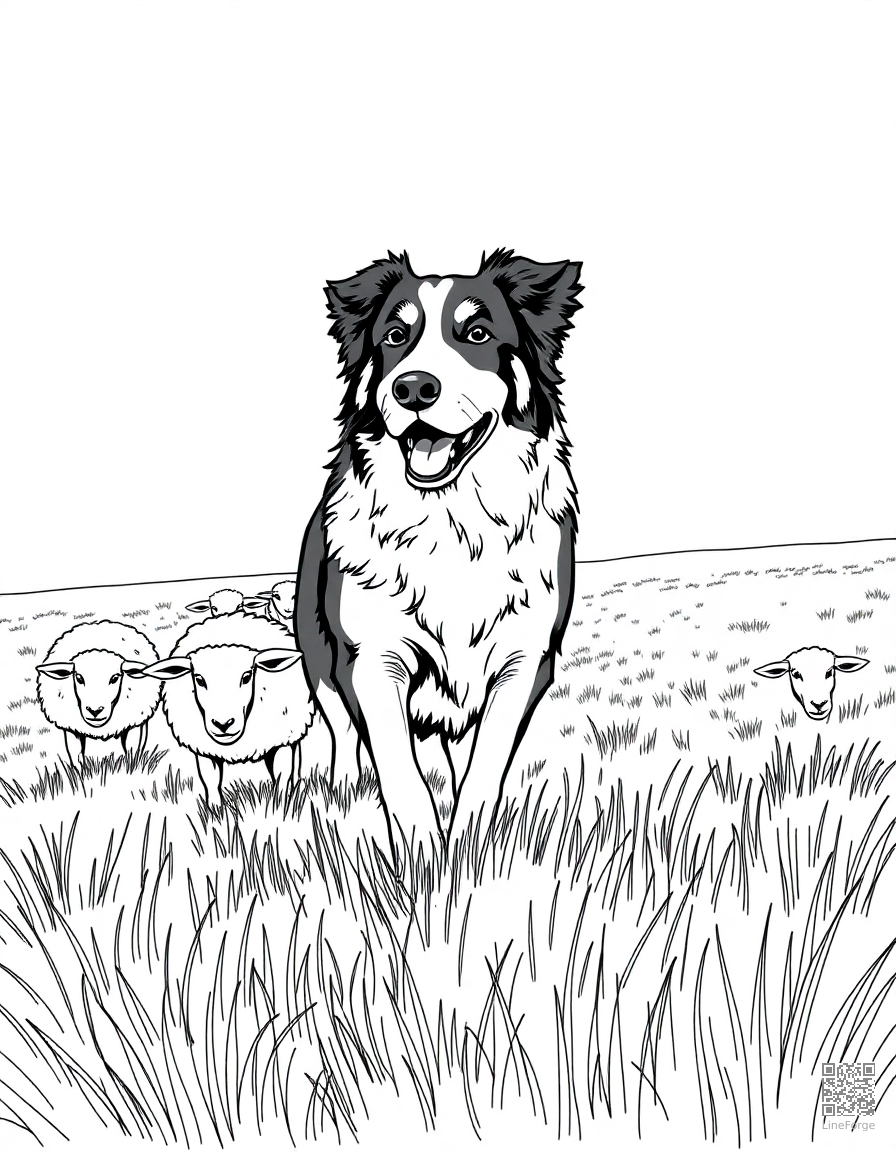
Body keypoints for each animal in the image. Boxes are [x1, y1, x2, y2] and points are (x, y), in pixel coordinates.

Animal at [36, 620, 162, 766]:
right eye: (79, 678)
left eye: (115, 678)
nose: (95, 711)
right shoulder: (71, 729)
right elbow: (76, 761)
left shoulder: (134, 725)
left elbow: (132, 755)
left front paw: (131, 769)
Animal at [141, 612, 313, 807]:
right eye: (199, 679)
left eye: (247, 677)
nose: (223, 724)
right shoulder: (205, 750)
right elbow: (211, 785)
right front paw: (216, 813)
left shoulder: (281, 742)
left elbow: (282, 780)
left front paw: (280, 808)